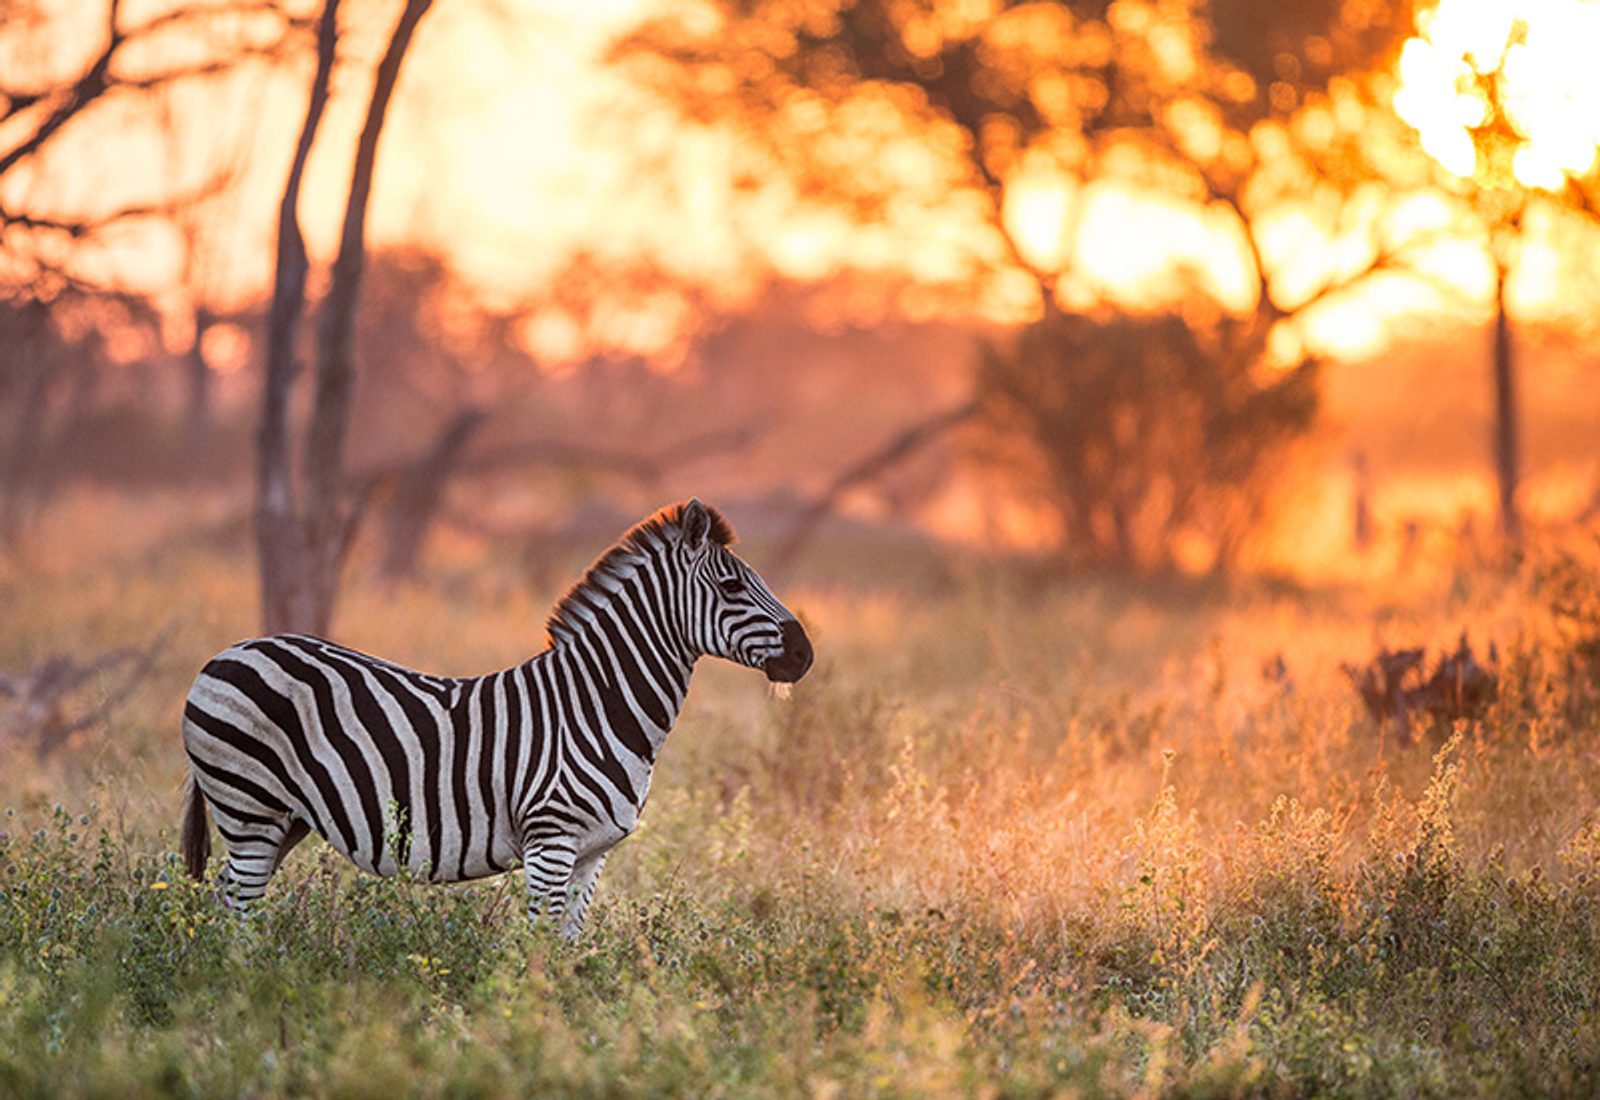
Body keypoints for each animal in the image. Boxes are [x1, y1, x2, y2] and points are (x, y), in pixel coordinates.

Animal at [179, 499, 812, 938]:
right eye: (731, 585)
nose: (805, 654)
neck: (597, 704)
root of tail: (226, 653)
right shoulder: (551, 840)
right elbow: (537, 944)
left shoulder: (592, 854)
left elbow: (568, 946)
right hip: (249, 805)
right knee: (237, 911)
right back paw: (242, 991)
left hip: (283, 818)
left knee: (222, 900)